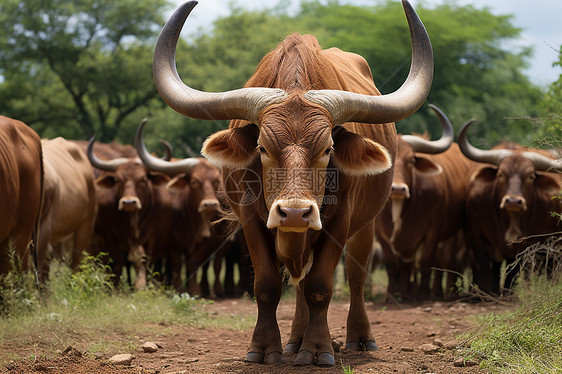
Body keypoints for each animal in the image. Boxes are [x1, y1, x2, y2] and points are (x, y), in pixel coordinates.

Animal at [151, 0, 430, 366]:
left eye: (328, 148)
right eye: (262, 147)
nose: (295, 213)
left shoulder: (339, 221)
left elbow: (321, 286)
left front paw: (319, 350)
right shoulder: (251, 220)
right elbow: (268, 285)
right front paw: (265, 348)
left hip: (364, 227)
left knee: (355, 277)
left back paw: (358, 338)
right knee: (298, 282)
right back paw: (295, 340)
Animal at [458, 120, 556, 296]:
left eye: (531, 176)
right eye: (501, 174)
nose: (513, 201)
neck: (510, 221)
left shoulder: (526, 244)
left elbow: (514, 269)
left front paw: (508, 293)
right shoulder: (477, 234)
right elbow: (485, 264)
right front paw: (486, 292)